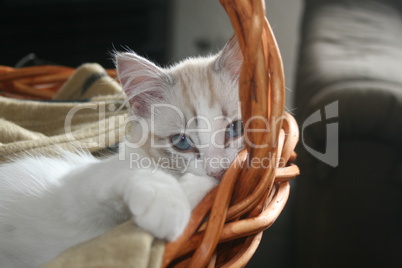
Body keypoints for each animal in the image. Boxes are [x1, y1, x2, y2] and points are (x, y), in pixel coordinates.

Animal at [0, 36, 242, 266]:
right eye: (181, 142)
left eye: (236, 128)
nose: (218, 171)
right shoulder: (79, 187)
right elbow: (138, 174)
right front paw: (168, 209)